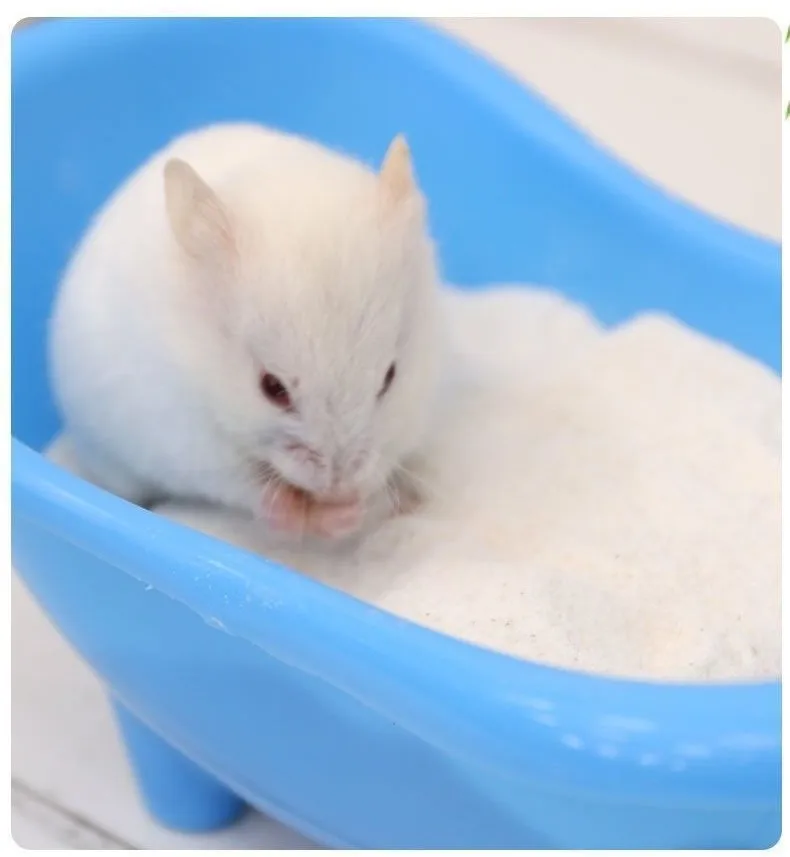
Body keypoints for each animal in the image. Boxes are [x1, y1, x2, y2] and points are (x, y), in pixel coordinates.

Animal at [49, 123, 445, 540]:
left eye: (390, 376)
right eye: (272, 388)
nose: (337, 487)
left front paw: (353, 508)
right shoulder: (193, 443)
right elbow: (258, 493)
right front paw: (327, 515)